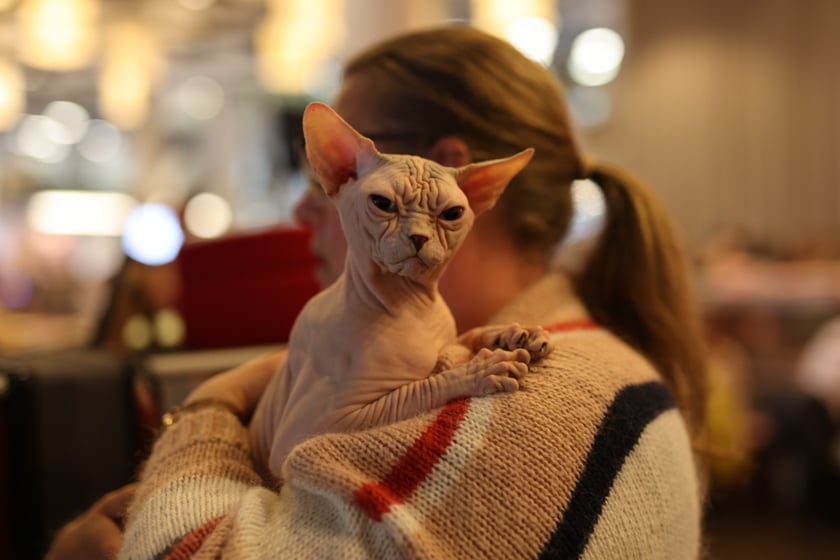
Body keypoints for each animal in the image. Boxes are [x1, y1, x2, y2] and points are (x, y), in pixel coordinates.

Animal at [248, 103, 552, 480]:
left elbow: (463, 337)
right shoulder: (304, 431)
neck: (412, 304)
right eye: (382, 203)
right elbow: (414, 391)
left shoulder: (446, 335)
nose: (418, 237)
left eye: (452, 213)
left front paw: (513, 335)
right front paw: (480, 370)